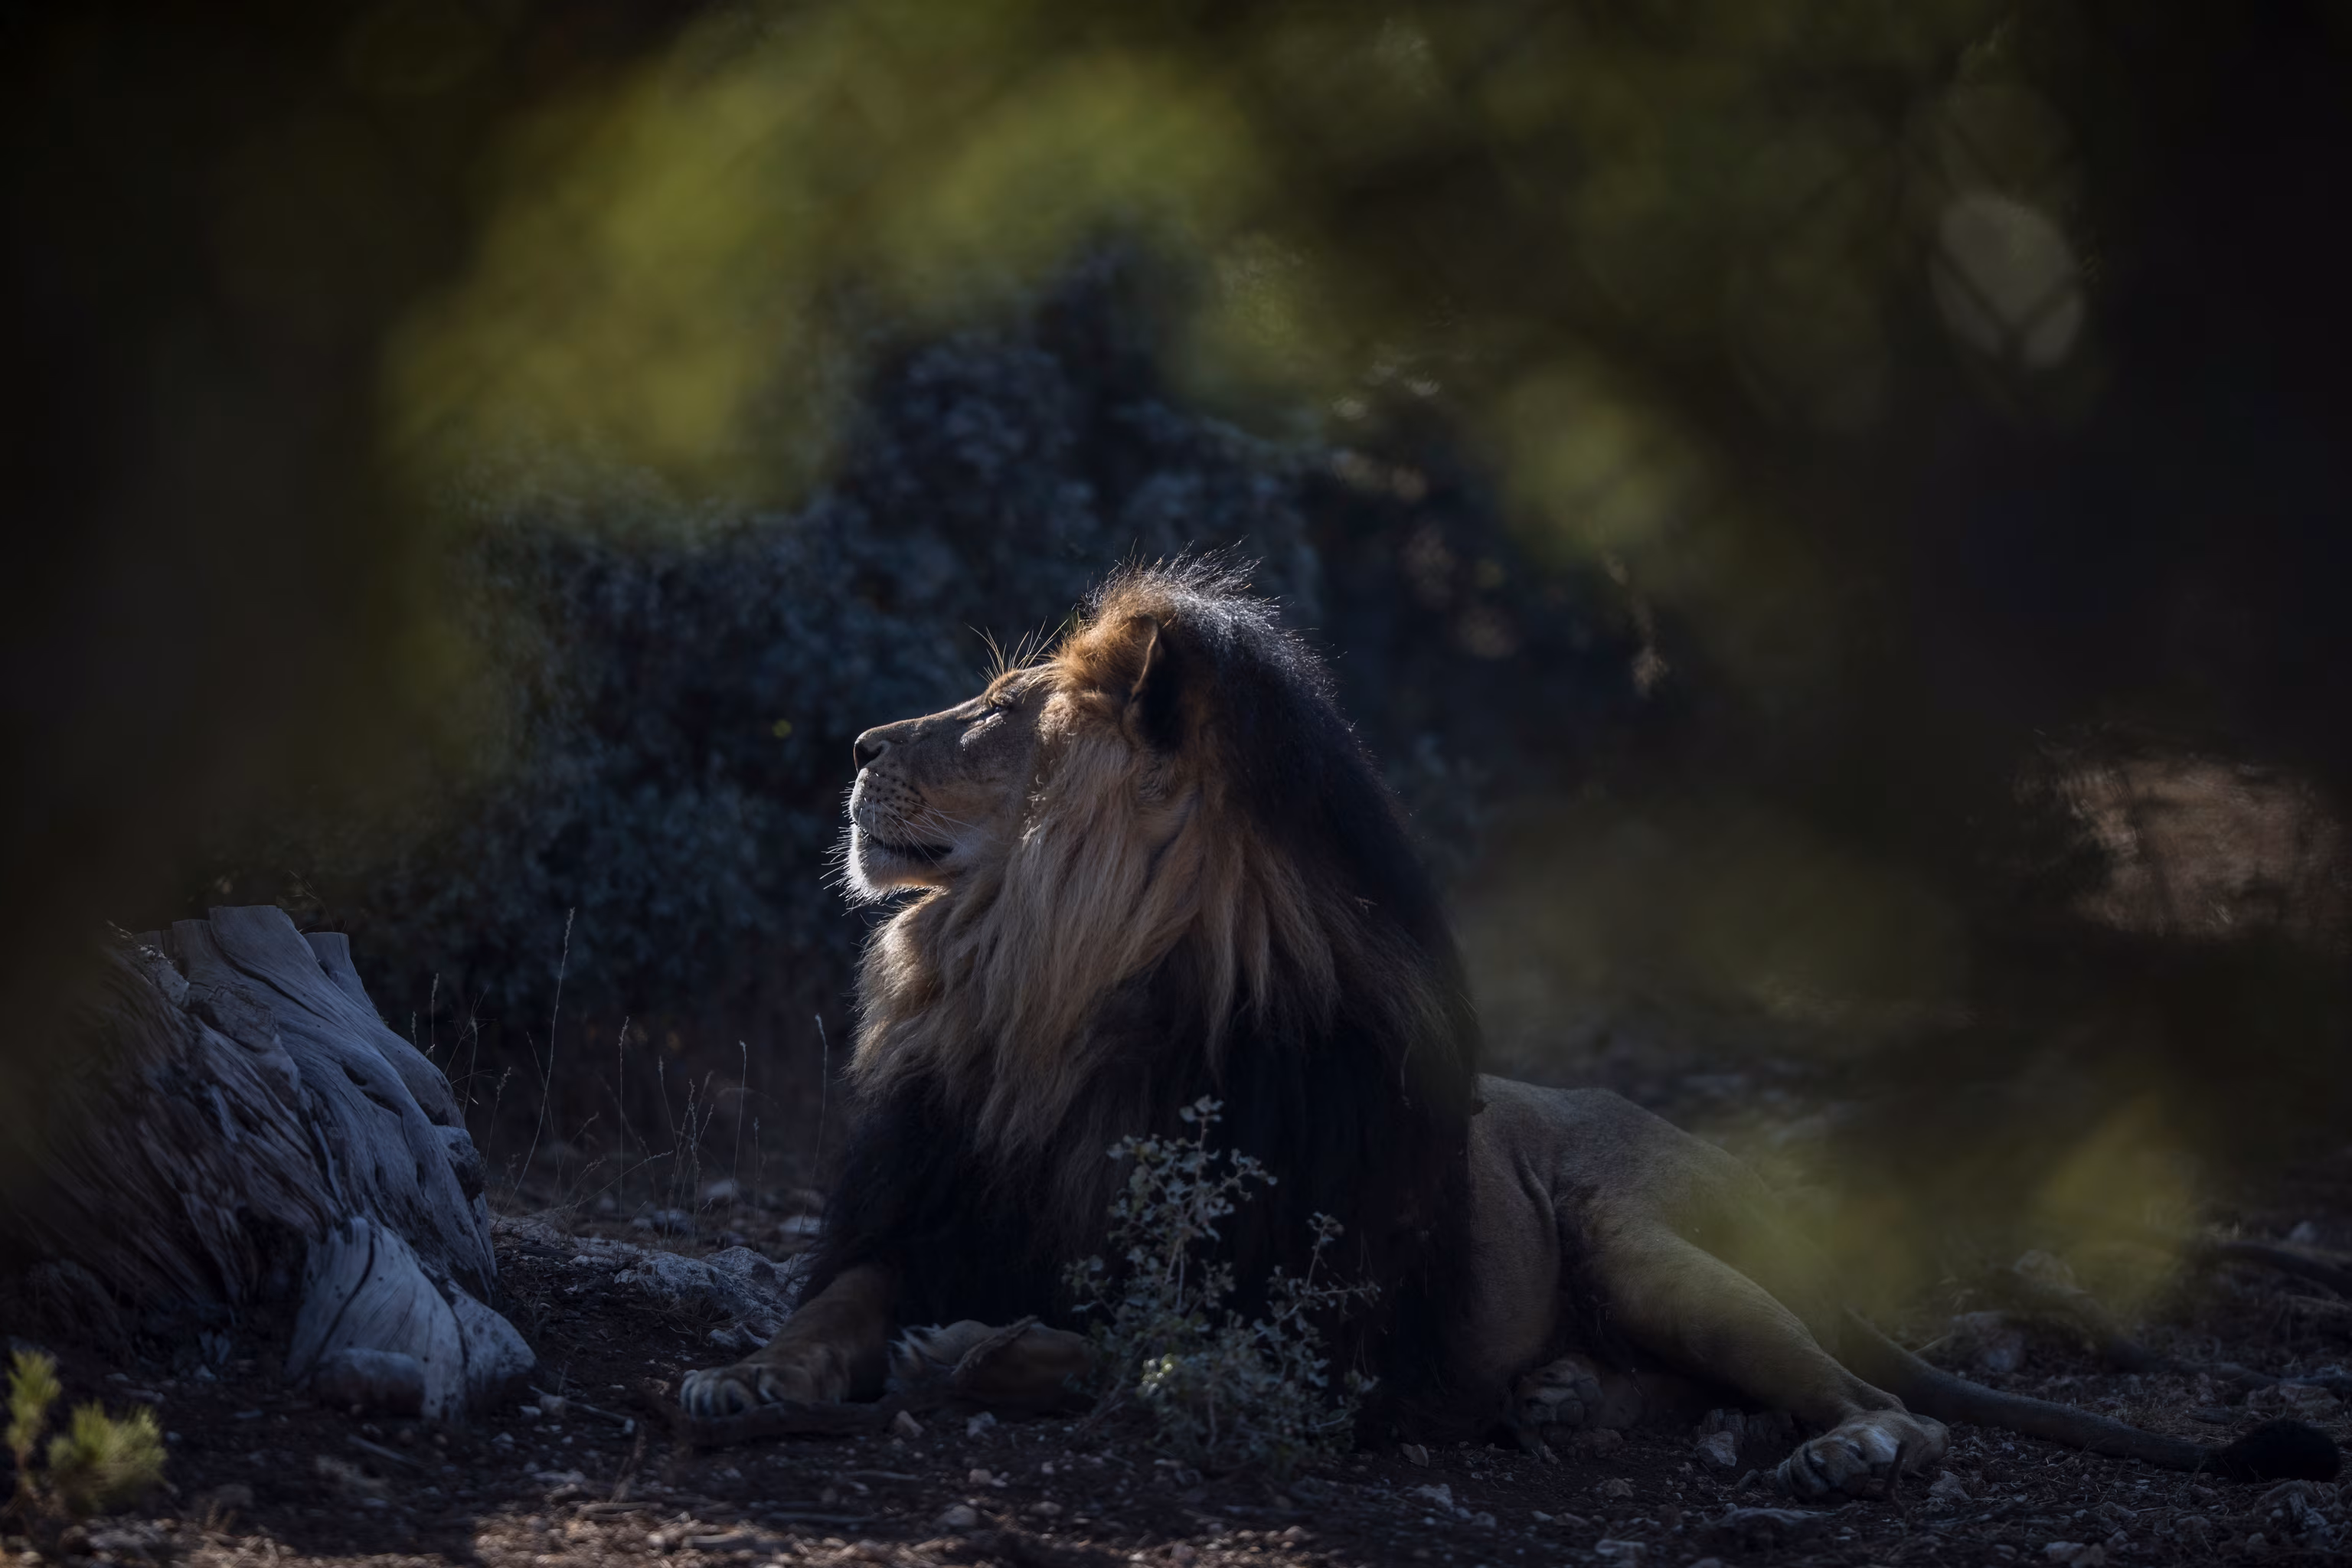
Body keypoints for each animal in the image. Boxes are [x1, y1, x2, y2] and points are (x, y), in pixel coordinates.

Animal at [682, 560, 2338, 1497]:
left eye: (999, 712)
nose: (856, 746)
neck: (1050, 996)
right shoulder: (927, 1207)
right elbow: (838, 1302)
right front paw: (751, 1375)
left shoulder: (1323, 1337)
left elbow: (1129, 1347)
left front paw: (981, 1349)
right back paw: (1575, 1402)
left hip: (1647, 1241)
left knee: (1885, 1403)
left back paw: (1841, 1455)